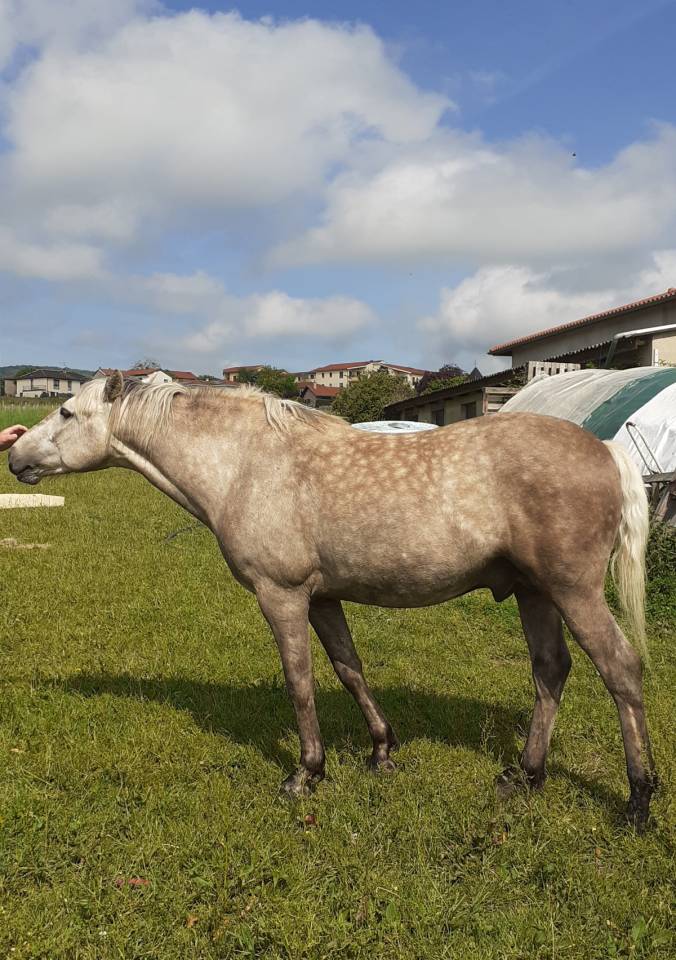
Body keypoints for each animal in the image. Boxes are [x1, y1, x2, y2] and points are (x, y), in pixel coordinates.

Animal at [8, 371, 657, 827]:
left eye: (66, 411)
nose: (14, 455)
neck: (245, 465)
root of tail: (607, 451)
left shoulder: (282, 597)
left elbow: (300, 683)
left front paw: (306, 773)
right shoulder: (322, 600)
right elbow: (349, 669)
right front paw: (382, 751)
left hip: (573, 591)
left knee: (620, 670)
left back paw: (638, 800)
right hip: (533, 593)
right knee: (550, 672)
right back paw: (525, 776)